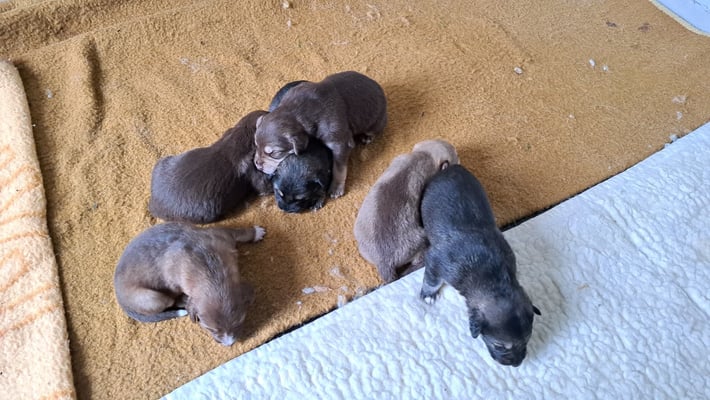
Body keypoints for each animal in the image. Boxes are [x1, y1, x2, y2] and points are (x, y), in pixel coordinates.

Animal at [114, 222, 264, 346]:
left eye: (239, 322)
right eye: (209, 329)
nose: (229, 344)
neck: (211, 270)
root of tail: (121, 302)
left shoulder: (221, 234)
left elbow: (238, 232)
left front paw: (256, 232)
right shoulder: (174, 281)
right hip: (152, 298)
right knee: (172, 301)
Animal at [254, 71, 387, 198]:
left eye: (275, 153)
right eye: (256, 145)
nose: (257, 166)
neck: (296, 112)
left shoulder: (340, 143)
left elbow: (339, 168)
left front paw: (336, 188)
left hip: (376, 121)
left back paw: (367, 137)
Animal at [354, 139, 459, 283]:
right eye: (456, 157)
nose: (459, 159)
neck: (422, 156)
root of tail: (384, 262)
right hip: (421, 240)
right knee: (418, 260)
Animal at [419, 165, 541, 367]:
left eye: (527, 339)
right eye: (499, 345)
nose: (516, 364)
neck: (493, 278)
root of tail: (453, 167)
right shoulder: (436, 262)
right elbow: (431, 280)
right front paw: (428, 295)